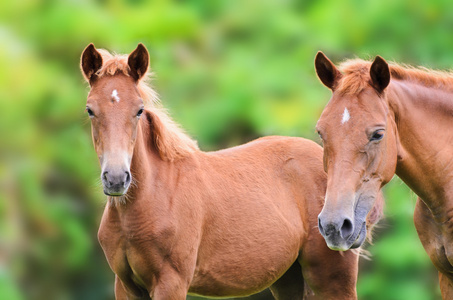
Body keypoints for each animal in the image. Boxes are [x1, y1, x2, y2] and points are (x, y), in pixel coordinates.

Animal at [80, 43, 374, 298]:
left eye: (139, 110)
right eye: (90, 110)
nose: (116, 179)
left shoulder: (171, 283)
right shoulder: (126, 286)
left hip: (332, 278)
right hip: (289, 278)